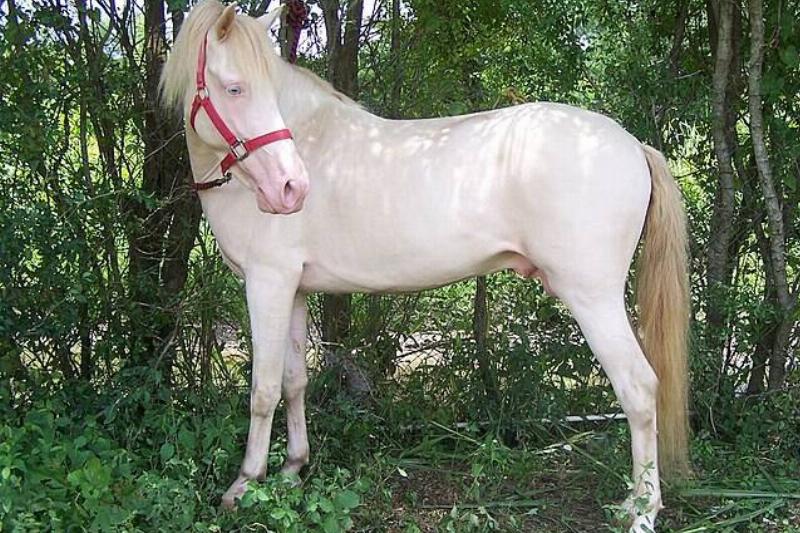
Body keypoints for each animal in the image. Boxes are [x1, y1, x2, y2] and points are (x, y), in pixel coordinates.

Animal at [160, 2, 690, 530]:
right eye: (235, 88)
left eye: (250, 87)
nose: (291, 188)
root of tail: (632, 145)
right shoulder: (293, 289)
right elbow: (294, 382)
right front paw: (292, 470)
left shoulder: (267, 283)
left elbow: (263, 389)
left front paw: (244, 484)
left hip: (593, 299)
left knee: (639, 390)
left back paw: (642, 511)